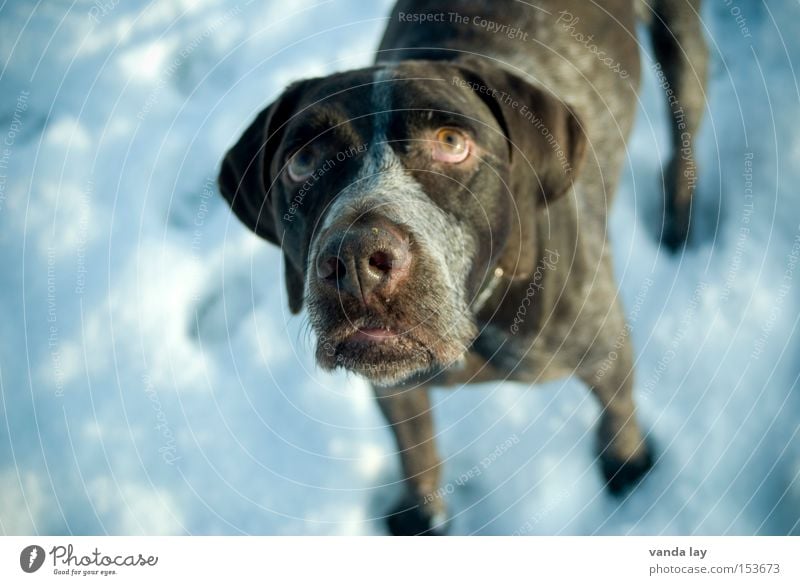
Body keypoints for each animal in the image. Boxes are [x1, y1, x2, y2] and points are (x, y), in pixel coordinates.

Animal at [217, 0, 708, 532]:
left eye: (451, 142)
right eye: (303, 162)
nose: (354, 260)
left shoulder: (602, 348)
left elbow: (619, 408)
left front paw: (628, 463)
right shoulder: (395, 389)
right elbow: (416, 450)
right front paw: (422, 513)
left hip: (683, 50)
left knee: (685, 137)